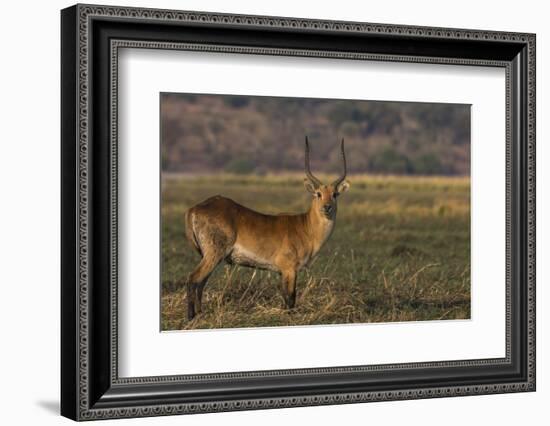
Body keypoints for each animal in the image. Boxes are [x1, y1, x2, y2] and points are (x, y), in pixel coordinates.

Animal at [184, 136, 350, 320]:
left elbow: (286, 298)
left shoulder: (282, 272)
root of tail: (195, 208)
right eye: (318, 194)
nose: (327, 207)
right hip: (213, 254)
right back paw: (191, 317)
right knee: (193, 279)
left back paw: (200, 314)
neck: (306, 227)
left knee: (201, 283)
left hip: (209, 256)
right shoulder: (289, 269)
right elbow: (290, 299)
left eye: (335, 194)